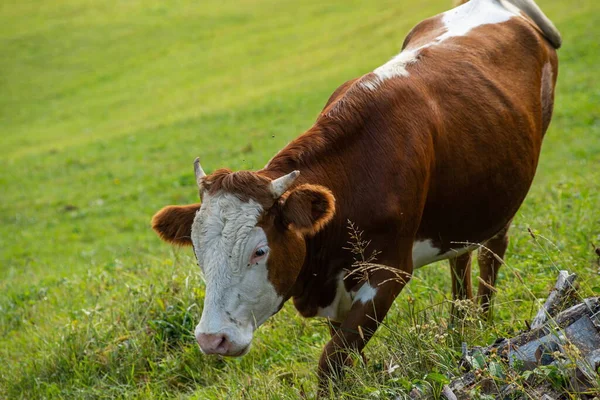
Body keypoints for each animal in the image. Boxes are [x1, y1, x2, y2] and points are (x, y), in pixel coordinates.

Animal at [151, 0, 564, 390]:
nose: (212, 339)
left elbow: (331, 361)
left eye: (259, 251)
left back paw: (481, 321)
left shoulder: (388, 273)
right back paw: (458, 327)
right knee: (459, 258)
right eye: (199, 254)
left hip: (505, 195)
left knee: (490, 255)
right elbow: (343, 356)